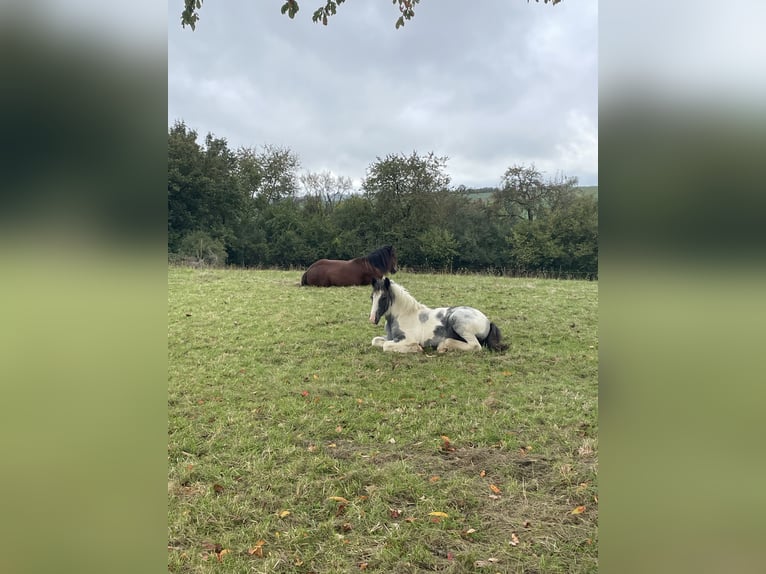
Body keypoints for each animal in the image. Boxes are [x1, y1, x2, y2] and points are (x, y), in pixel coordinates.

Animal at [368, 278, 510, 354]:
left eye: (383, 297)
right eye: (372, 297)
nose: (372, 319)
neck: (402, 315)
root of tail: (488, 321)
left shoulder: (407, 339)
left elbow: (386, 346)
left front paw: (416, 348)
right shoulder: (390, 337)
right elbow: (375, 341)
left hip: (458, 321)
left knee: (475, 346)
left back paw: (443, 346)